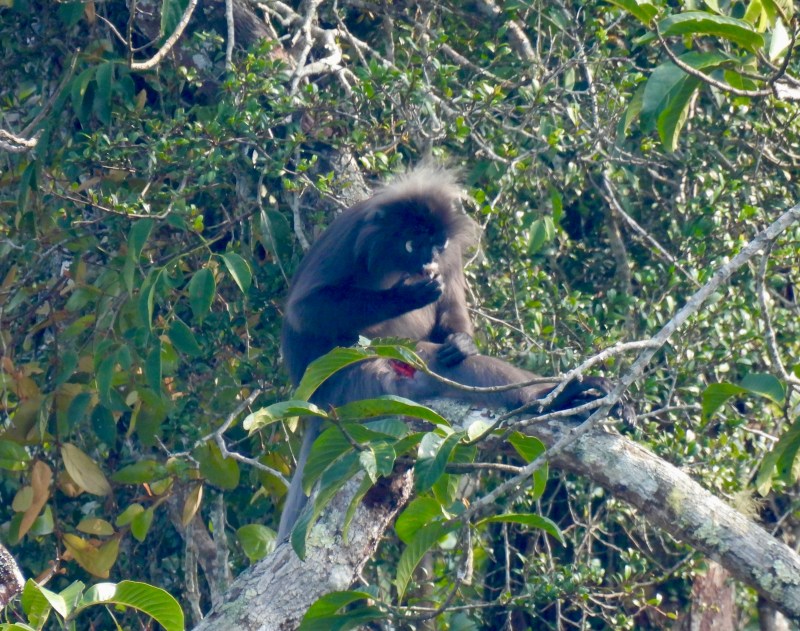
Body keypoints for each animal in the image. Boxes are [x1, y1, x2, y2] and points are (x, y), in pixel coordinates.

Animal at [277, 165, 619, 540]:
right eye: (412, 243)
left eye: (437, 244)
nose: (428, 261)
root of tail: (319, 404)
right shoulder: (350, 238)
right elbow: (305, 310)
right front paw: (405, 295)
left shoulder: (449, 256)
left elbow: (452, 310)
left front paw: (462, 340)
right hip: (358, 381)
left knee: (457, 361)